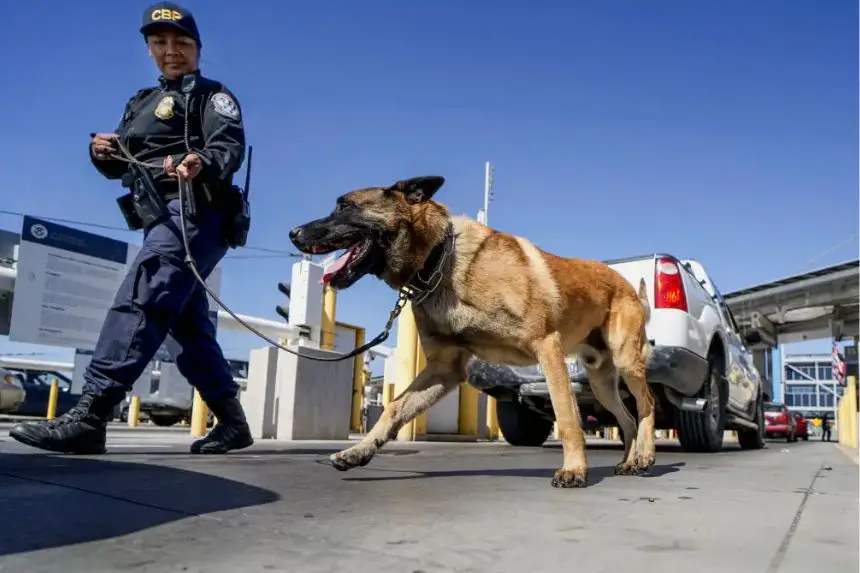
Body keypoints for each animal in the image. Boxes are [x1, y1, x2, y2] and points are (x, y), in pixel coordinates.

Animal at [288, 175, 652, 488]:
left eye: (344, 206)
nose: (292, 232)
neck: (440, 259)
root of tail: (625, 283)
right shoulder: (444, 368)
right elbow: (394, 408)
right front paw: (358, 451)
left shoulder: (546, 346)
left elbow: (566, 415)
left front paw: (575, 469)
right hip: (601, 381)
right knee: (627, 418)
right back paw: (628, 461)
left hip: (625, 362)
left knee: (645, 404)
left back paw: (645, 456)